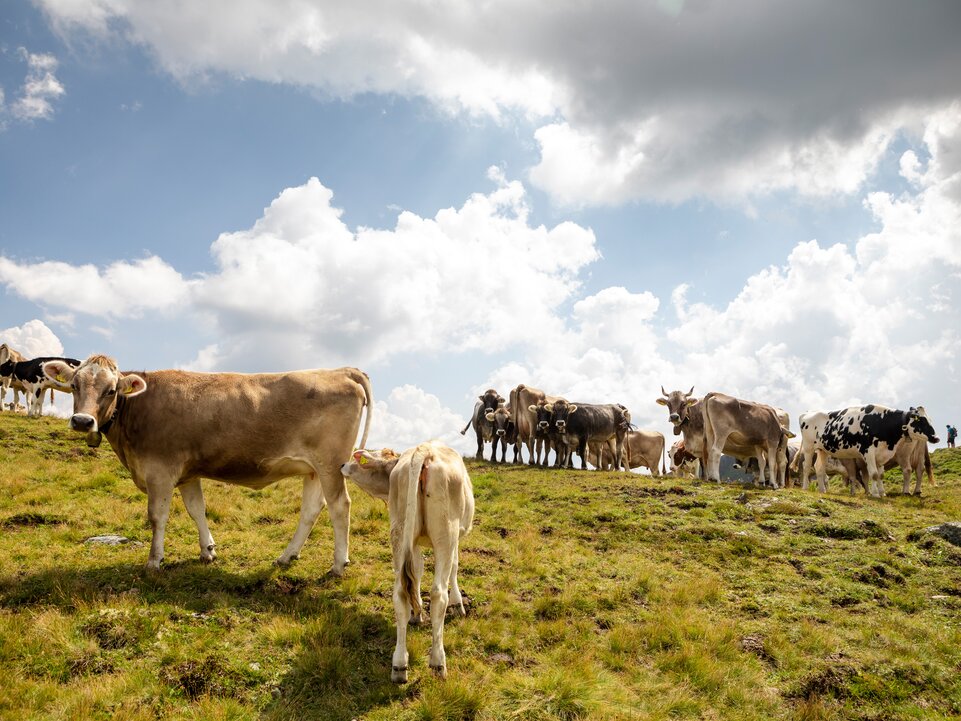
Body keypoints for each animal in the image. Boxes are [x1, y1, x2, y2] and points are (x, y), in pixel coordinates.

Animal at [43, 354, 372, 572]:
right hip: (313, 470)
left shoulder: (159, 472)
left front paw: (154, 561)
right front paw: (208, 550)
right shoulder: (188, 474)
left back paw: (338, 564)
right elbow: (196, 510)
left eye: (110, 390)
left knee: (340, 506)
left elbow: (157, 516)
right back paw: (286, 556)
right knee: (312, 510)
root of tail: (344, 370)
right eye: (74, 385)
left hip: (331, 465)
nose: (82, 421)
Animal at [340, 442, 474, 684]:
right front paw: (458, 605)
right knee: (438, 593)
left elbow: (417, 572)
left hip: (400, 532)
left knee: (400, 592)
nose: (343, 464)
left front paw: (416, 612)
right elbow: (454, 568)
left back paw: (400, 664)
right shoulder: (455, 539)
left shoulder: (415, 543)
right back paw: (438, 662)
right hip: (446, 534)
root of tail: (425, 450)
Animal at [656, 386, 792, 486]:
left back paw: (780, 484)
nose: (674, 417)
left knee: (781, 462)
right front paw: (707, 478)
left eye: (683, 403)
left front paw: (705, 477)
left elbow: (704, 462)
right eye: (668, 404)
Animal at [808, 402, 936, 498]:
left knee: (908, 470)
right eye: (922, 420)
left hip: (904, 455)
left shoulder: (857, 459)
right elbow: (870, 475)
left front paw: (871, 493)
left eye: (929, 420)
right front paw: (873, 492)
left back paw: (906, 491)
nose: (936, 437)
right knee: (919, 469)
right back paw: (916, 491)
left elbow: (863, 476)